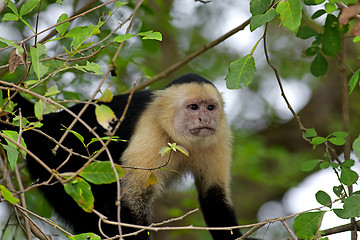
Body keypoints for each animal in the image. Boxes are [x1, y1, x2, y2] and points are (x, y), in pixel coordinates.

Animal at [1, 74, 253, 239]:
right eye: (193, 107)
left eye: (210, 107)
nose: (205, 119)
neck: (179, 139)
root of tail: (45, 121)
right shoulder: (151, 132)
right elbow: (132, 203)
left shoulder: (219, 136)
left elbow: (215, 199)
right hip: (52, 158)